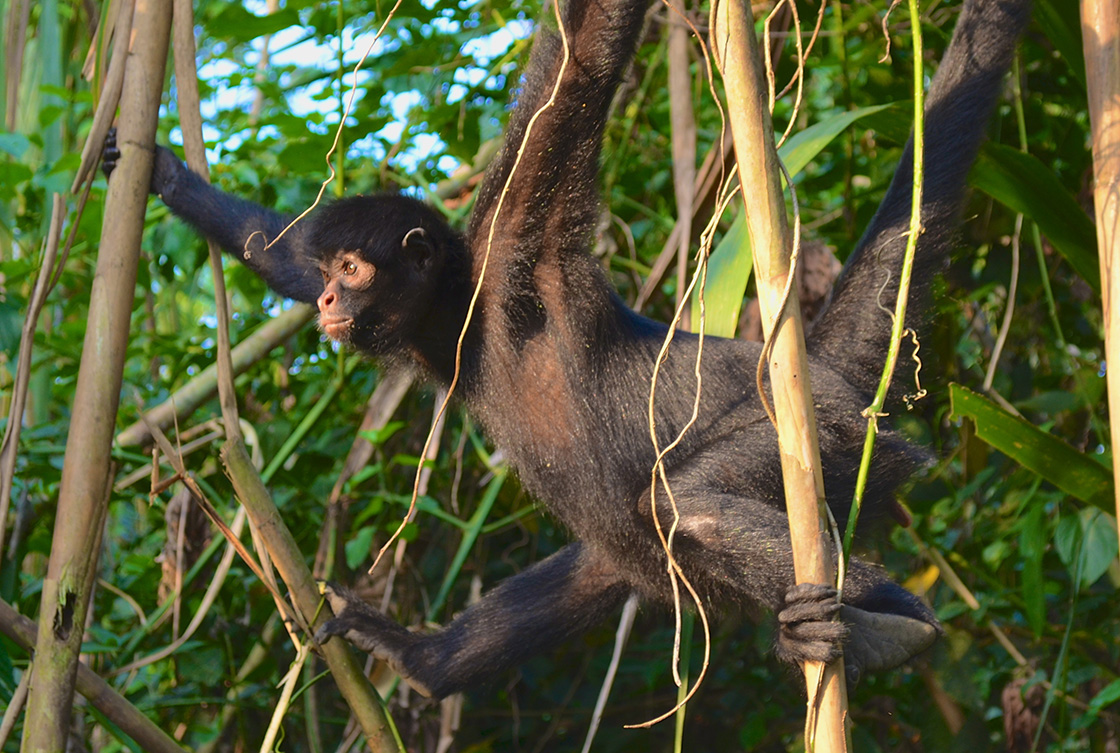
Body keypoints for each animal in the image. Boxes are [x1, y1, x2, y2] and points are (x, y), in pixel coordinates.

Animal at [104, 0, 1031, 701]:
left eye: (355, 269)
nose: (334, 299)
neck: (471, 327)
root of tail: (810, 372)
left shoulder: (519, 234)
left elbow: (580, 59)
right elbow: (279, 251)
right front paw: (160, 170)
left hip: (828, 437)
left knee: (682, 504)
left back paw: (892, 623)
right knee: (613, 557)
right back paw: (429, 660)